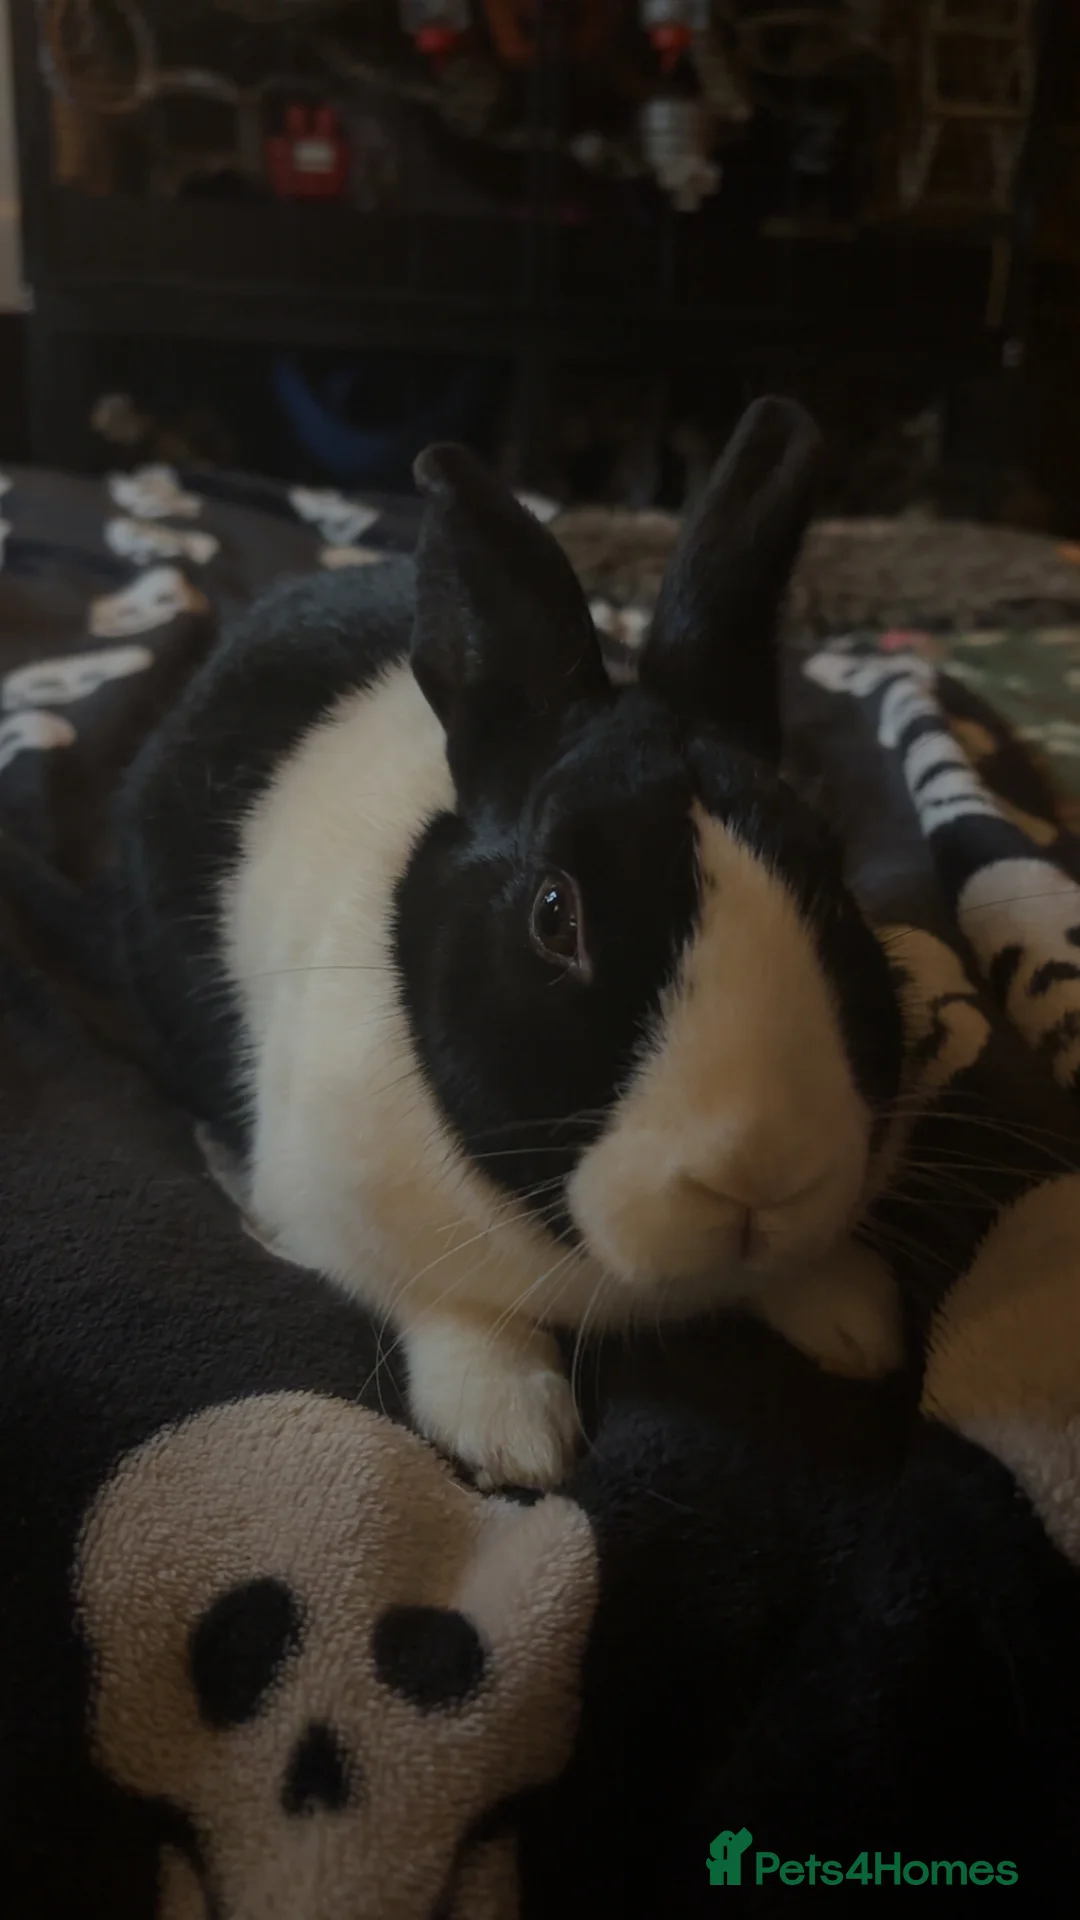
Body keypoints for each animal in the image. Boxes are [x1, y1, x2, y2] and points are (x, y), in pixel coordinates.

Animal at [114, 397, 906, 1490]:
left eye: (829, 882)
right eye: (553, 915)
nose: (758, 1181)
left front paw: (856, 1321)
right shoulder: (328, 1208)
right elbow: (450, 1309)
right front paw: (514, 1437)